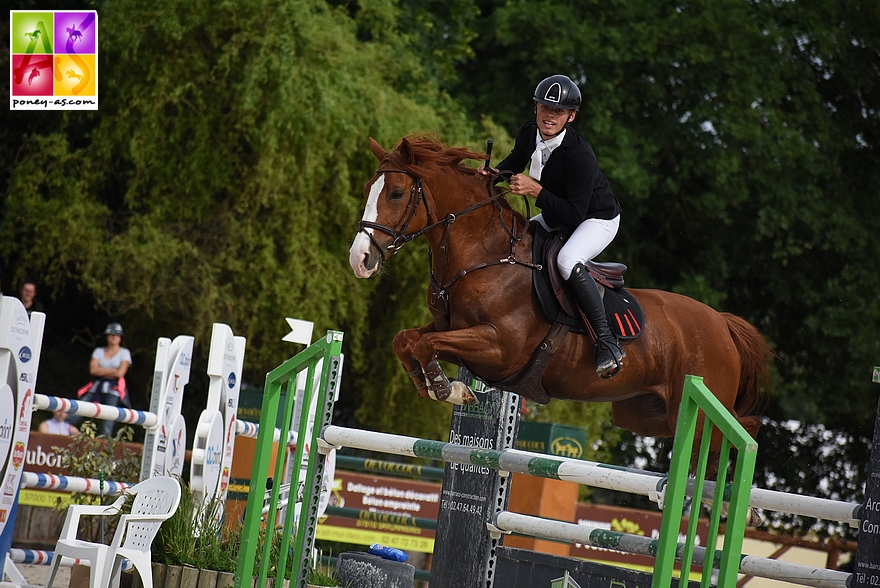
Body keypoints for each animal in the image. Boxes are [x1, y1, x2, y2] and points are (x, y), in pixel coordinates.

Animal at [350, 137, 768, 440]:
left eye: (396, 193)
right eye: (370, 187)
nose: (359, 259)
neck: (484, 255)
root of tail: (722, 323)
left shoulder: (498, 347)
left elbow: (425, 344)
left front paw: (446, 388)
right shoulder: (451, 328)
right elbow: (408, 340)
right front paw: (432, 384)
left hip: (694, 412)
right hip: (644, 416)